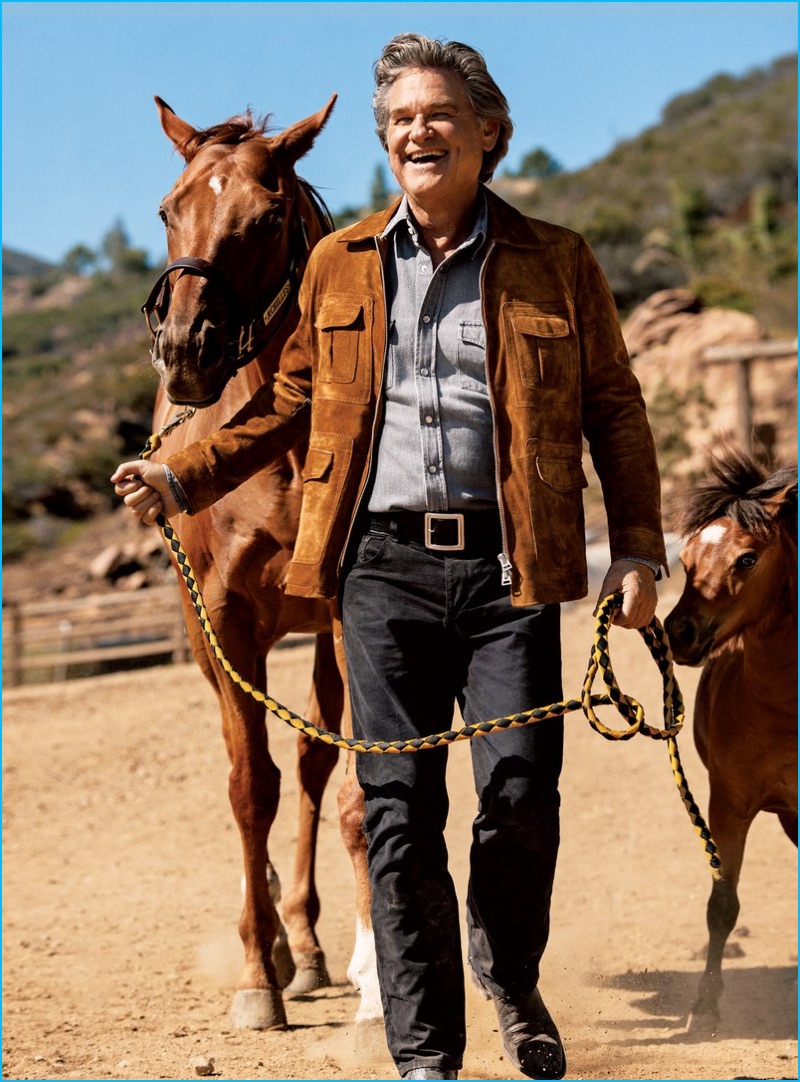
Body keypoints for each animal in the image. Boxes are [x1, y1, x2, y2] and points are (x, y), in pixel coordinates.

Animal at [140, 95, 378, 1030]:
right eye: (168, 210)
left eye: (269, 217)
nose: (186, 349)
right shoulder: (226, 617)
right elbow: (249, 788)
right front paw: (255, 978)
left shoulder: (349, 616)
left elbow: (352, 789)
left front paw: (373, 979)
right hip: (212, 642)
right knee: (261, 768)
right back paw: (276, 942)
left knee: (313, 770)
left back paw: (309, 946)